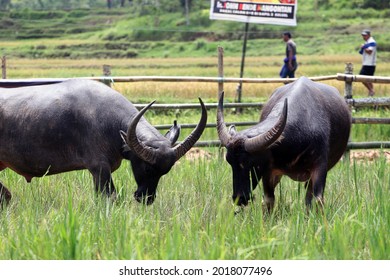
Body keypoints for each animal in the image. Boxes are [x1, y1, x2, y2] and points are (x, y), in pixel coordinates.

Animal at [0, 79, 207, 206]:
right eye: (147, 168)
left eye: (165, 172)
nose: (146, 198)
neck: (110, 123)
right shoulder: (99, 168)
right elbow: (109, 197)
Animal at [218, 75, 352, 211]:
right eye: (229, 162)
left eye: (250, 163)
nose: (239, 198)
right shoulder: (269, 172)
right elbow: (268, 200)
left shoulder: (320, 167)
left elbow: (317, 200)